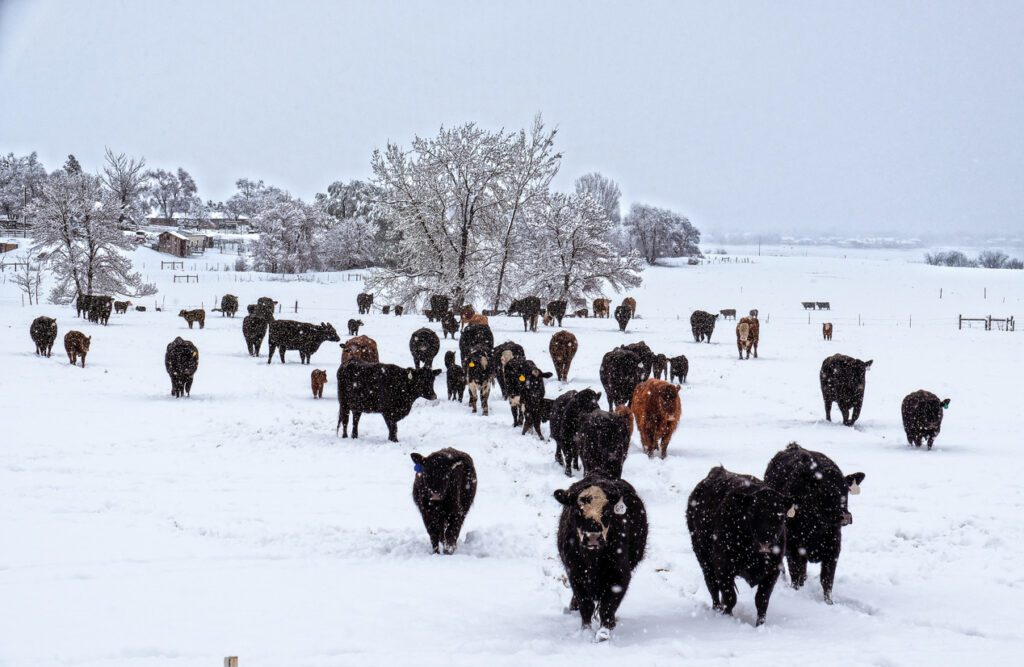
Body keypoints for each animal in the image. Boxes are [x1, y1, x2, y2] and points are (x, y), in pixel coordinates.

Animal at [552, 475, 647, 643]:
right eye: (577, 510)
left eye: (607, 510)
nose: (593, 537)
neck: (593, 560)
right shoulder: (575, 574)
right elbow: (586, 605)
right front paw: (586, 631)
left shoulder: (620, 575)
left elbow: (607, 608)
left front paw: (603, 633)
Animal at [684, 467, 794, 627]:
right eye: (752, 513)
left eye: (780, 516)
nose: (766, 543)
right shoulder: (723, 566)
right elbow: (730, 597)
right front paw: (727, 618)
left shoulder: (773, 570)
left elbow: (762, 600)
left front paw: (760, 625)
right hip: (703, 557)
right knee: (712, 585)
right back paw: (717, 609)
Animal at [770, 442, 864, 606]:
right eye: (824, 490)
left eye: (846, 489)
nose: (846, 516)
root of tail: (794, 446)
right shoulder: (793, 549)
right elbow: (796, 576)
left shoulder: (833, 549)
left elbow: (827, 581)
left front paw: (829, 603)